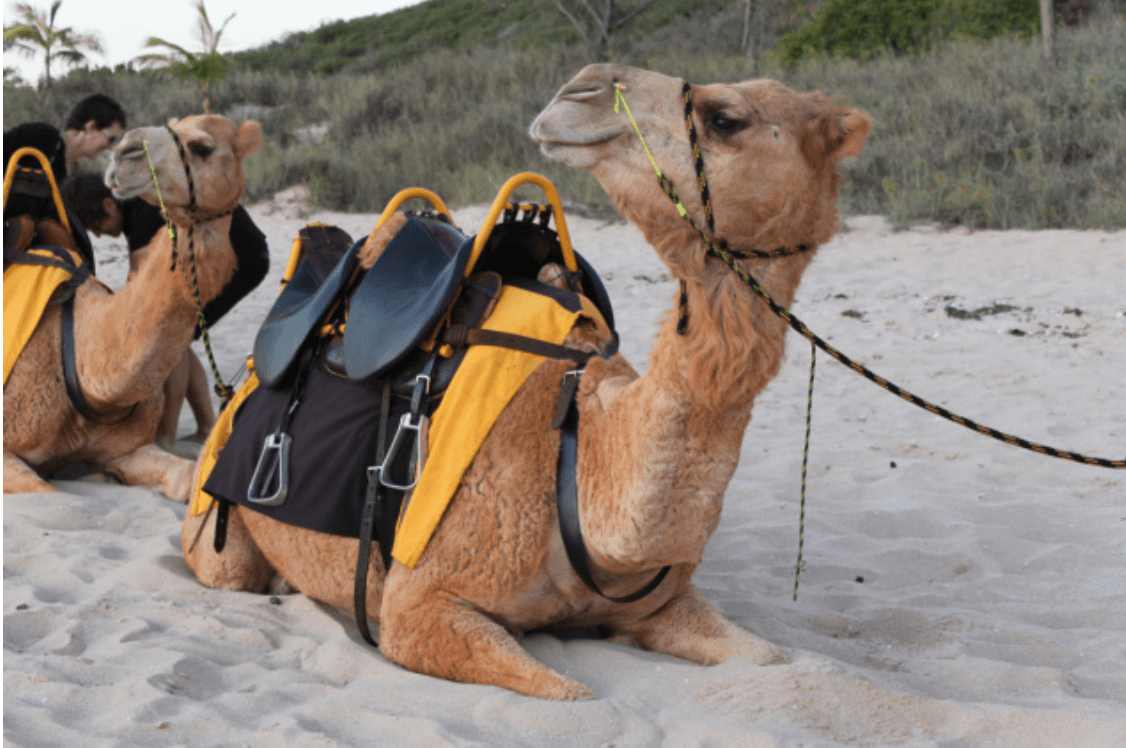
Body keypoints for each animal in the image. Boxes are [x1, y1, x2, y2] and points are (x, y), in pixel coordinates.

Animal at [3, 115, 262, 499]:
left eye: (203, 147)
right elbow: (50, 492)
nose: (126, 150)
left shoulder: (127, 448)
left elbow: (187, 478)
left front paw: (103, 475)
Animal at [181, 64, 870, 700]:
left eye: (726, 118)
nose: (582, 86)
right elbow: (575, 693)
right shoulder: (419, 602)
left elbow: (772, 660)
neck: (580, 453)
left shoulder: (662, 604)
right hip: (216, 530)